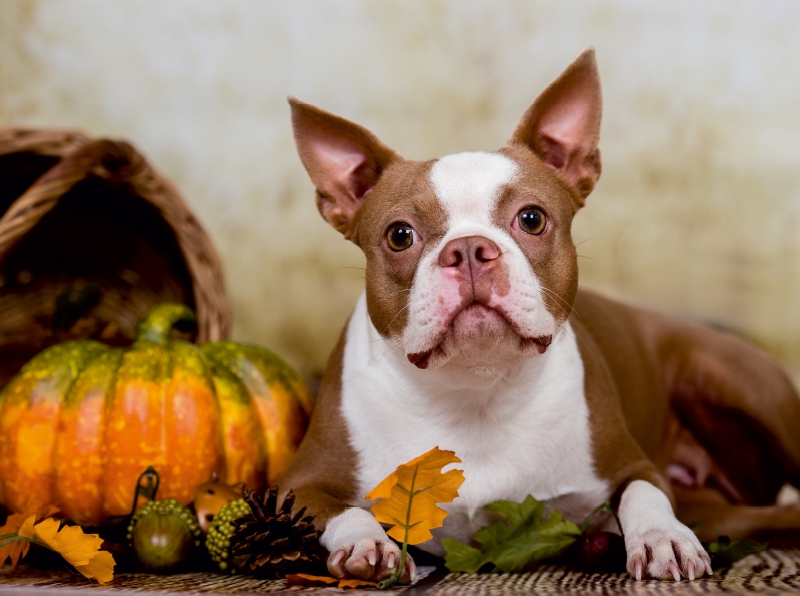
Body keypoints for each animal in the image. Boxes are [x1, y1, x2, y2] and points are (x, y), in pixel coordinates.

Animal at [278, 49, 800, 580]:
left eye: (531, 219)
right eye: (399, 235)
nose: (469, 249)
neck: (476, 391)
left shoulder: (635, 466)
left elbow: (643, 493)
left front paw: (662, 538)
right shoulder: (297, 484)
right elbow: (344, 509)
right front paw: (366, 544)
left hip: (744, 386)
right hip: (720, 506)